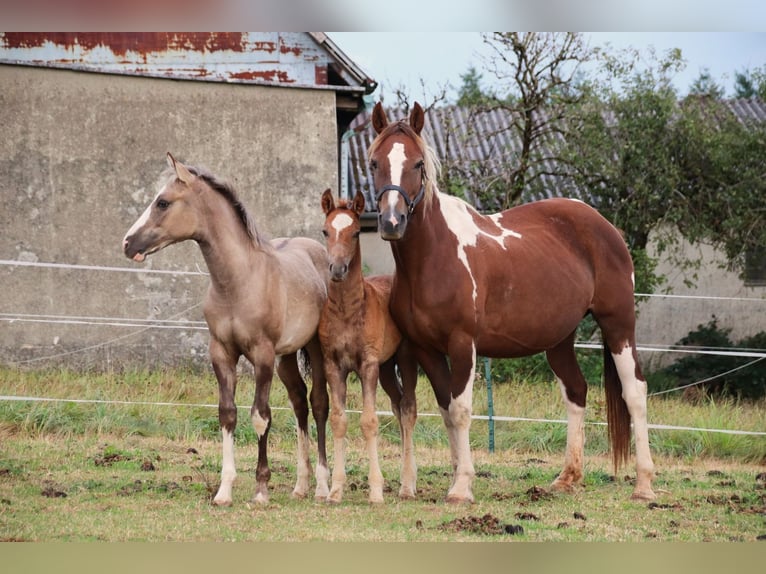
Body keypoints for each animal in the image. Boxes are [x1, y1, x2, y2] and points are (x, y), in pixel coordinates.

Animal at [122, 154, 330, 508]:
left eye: (162, 202)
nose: (127, 243)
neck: (238, 281)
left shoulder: (261, 355)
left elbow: (260, 416)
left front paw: (260, 490)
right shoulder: (221, 353)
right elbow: (227, 414)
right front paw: (224, 491)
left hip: (313, 348)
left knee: (319, 404)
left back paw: (323, 486)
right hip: (287, 357)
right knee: (299, 402)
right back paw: (301, 485)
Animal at [316, 189, 416, 504]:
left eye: (357, 232)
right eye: (325, 231)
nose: (337, 269)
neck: (348, 311)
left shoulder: (367, 365)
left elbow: (370, 421)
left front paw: (375, 491)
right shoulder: (333, 366)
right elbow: (338, 420)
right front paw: (335, 490)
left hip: (404, 358)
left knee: (408, 410)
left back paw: (407, 486)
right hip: (386, 368)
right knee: (398, 407)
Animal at [368, 103, 656, 504]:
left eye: (417, 164)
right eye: (374, 163)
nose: (391, 222)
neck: (434, 255)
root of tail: (605, 226)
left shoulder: (463, 344)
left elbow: (461, 410)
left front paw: (462, 487)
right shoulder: (427, 349)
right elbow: (446, 409)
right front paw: (457, 477)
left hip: (618, 325)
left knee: (635, 392)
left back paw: (644, 484)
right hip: (559, 339)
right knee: (576, 391)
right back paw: (567, 477)